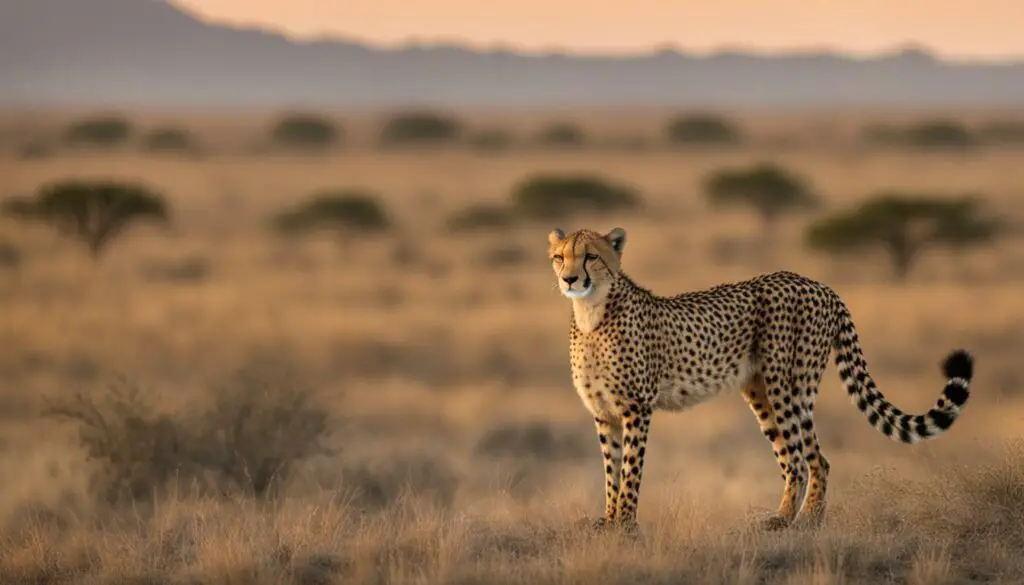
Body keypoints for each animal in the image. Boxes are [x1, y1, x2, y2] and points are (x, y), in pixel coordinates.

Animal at [552, 226, 974, 532]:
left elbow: (630, 469)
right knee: (795, 459)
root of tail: (819, 285)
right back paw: (794, 517)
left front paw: (625, 523)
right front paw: (608, 520)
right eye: (559, 257)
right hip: (760, 391)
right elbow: (611, 468)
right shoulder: (604, 413)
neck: (592, 312)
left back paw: (797, 520)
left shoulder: (636, 408)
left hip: (788, 385)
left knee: (810, 458)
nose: (570, 279)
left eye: (591, 256)